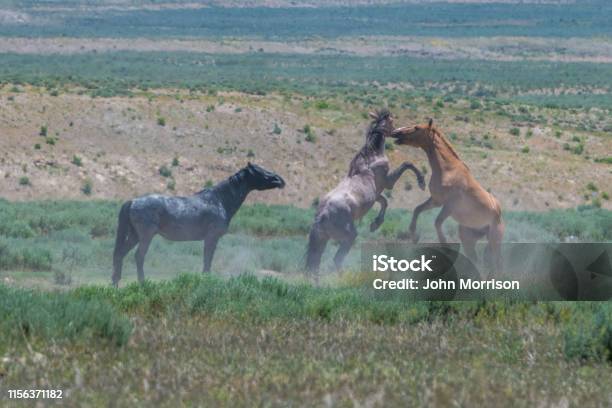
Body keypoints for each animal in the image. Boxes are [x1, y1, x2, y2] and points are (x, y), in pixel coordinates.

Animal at [112, 161, 284, 286]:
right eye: (259, 171)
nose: (280, 180)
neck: (219, 200)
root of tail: (133, 201)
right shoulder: (211, 237)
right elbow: (207, 259)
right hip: (145, 236)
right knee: (139, 256)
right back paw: (142, 283)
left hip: (134, 236)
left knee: (120, 254)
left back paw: (115, 283)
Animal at [306, 109, 426, 278]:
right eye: (392, 120)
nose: (398, 133)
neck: (372, 156)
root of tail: (321, 216)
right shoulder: (387, 182)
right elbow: (407, 164)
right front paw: (421, 182)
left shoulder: (376, 195)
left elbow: (384, 202)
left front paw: (375, 224)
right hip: (349, 236)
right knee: (337, 259)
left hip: (322, 240)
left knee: (315, 263)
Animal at [390, 118, 504, 270]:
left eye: (417, 127)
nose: (395, 132)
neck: (448, 170)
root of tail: (498, 211)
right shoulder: (436, 201)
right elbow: (417, 209)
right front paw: (414, 236)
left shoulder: (449, 206)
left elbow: (437, 222)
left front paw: (445, 246)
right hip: (468, 238)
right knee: (476, 260)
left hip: (494, 240)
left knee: (497, 265)